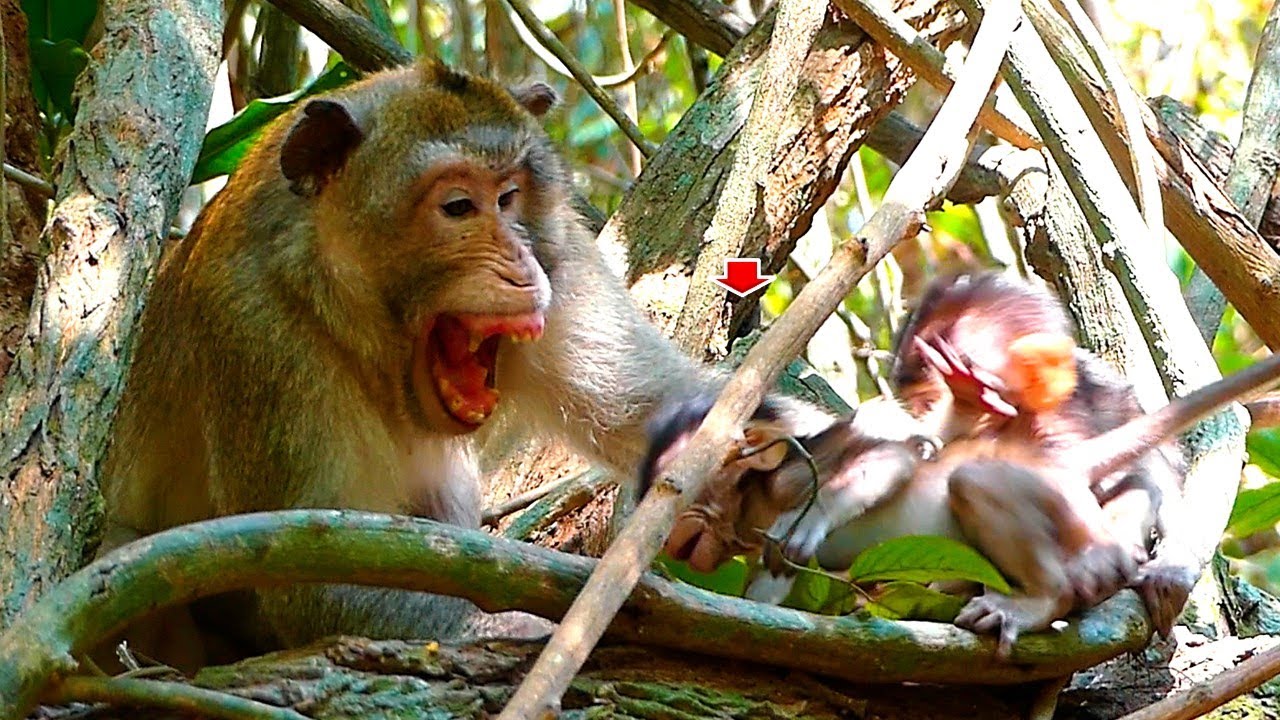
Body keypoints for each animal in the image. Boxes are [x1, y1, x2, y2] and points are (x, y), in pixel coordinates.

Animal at [96, 62, 835, 670]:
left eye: (509, 197)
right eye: (457, 207)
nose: (522, 267)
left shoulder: (564, 257)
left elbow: (648, 403)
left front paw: (742, 479)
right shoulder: (257, 332)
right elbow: (315, 579)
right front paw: (546, 630)